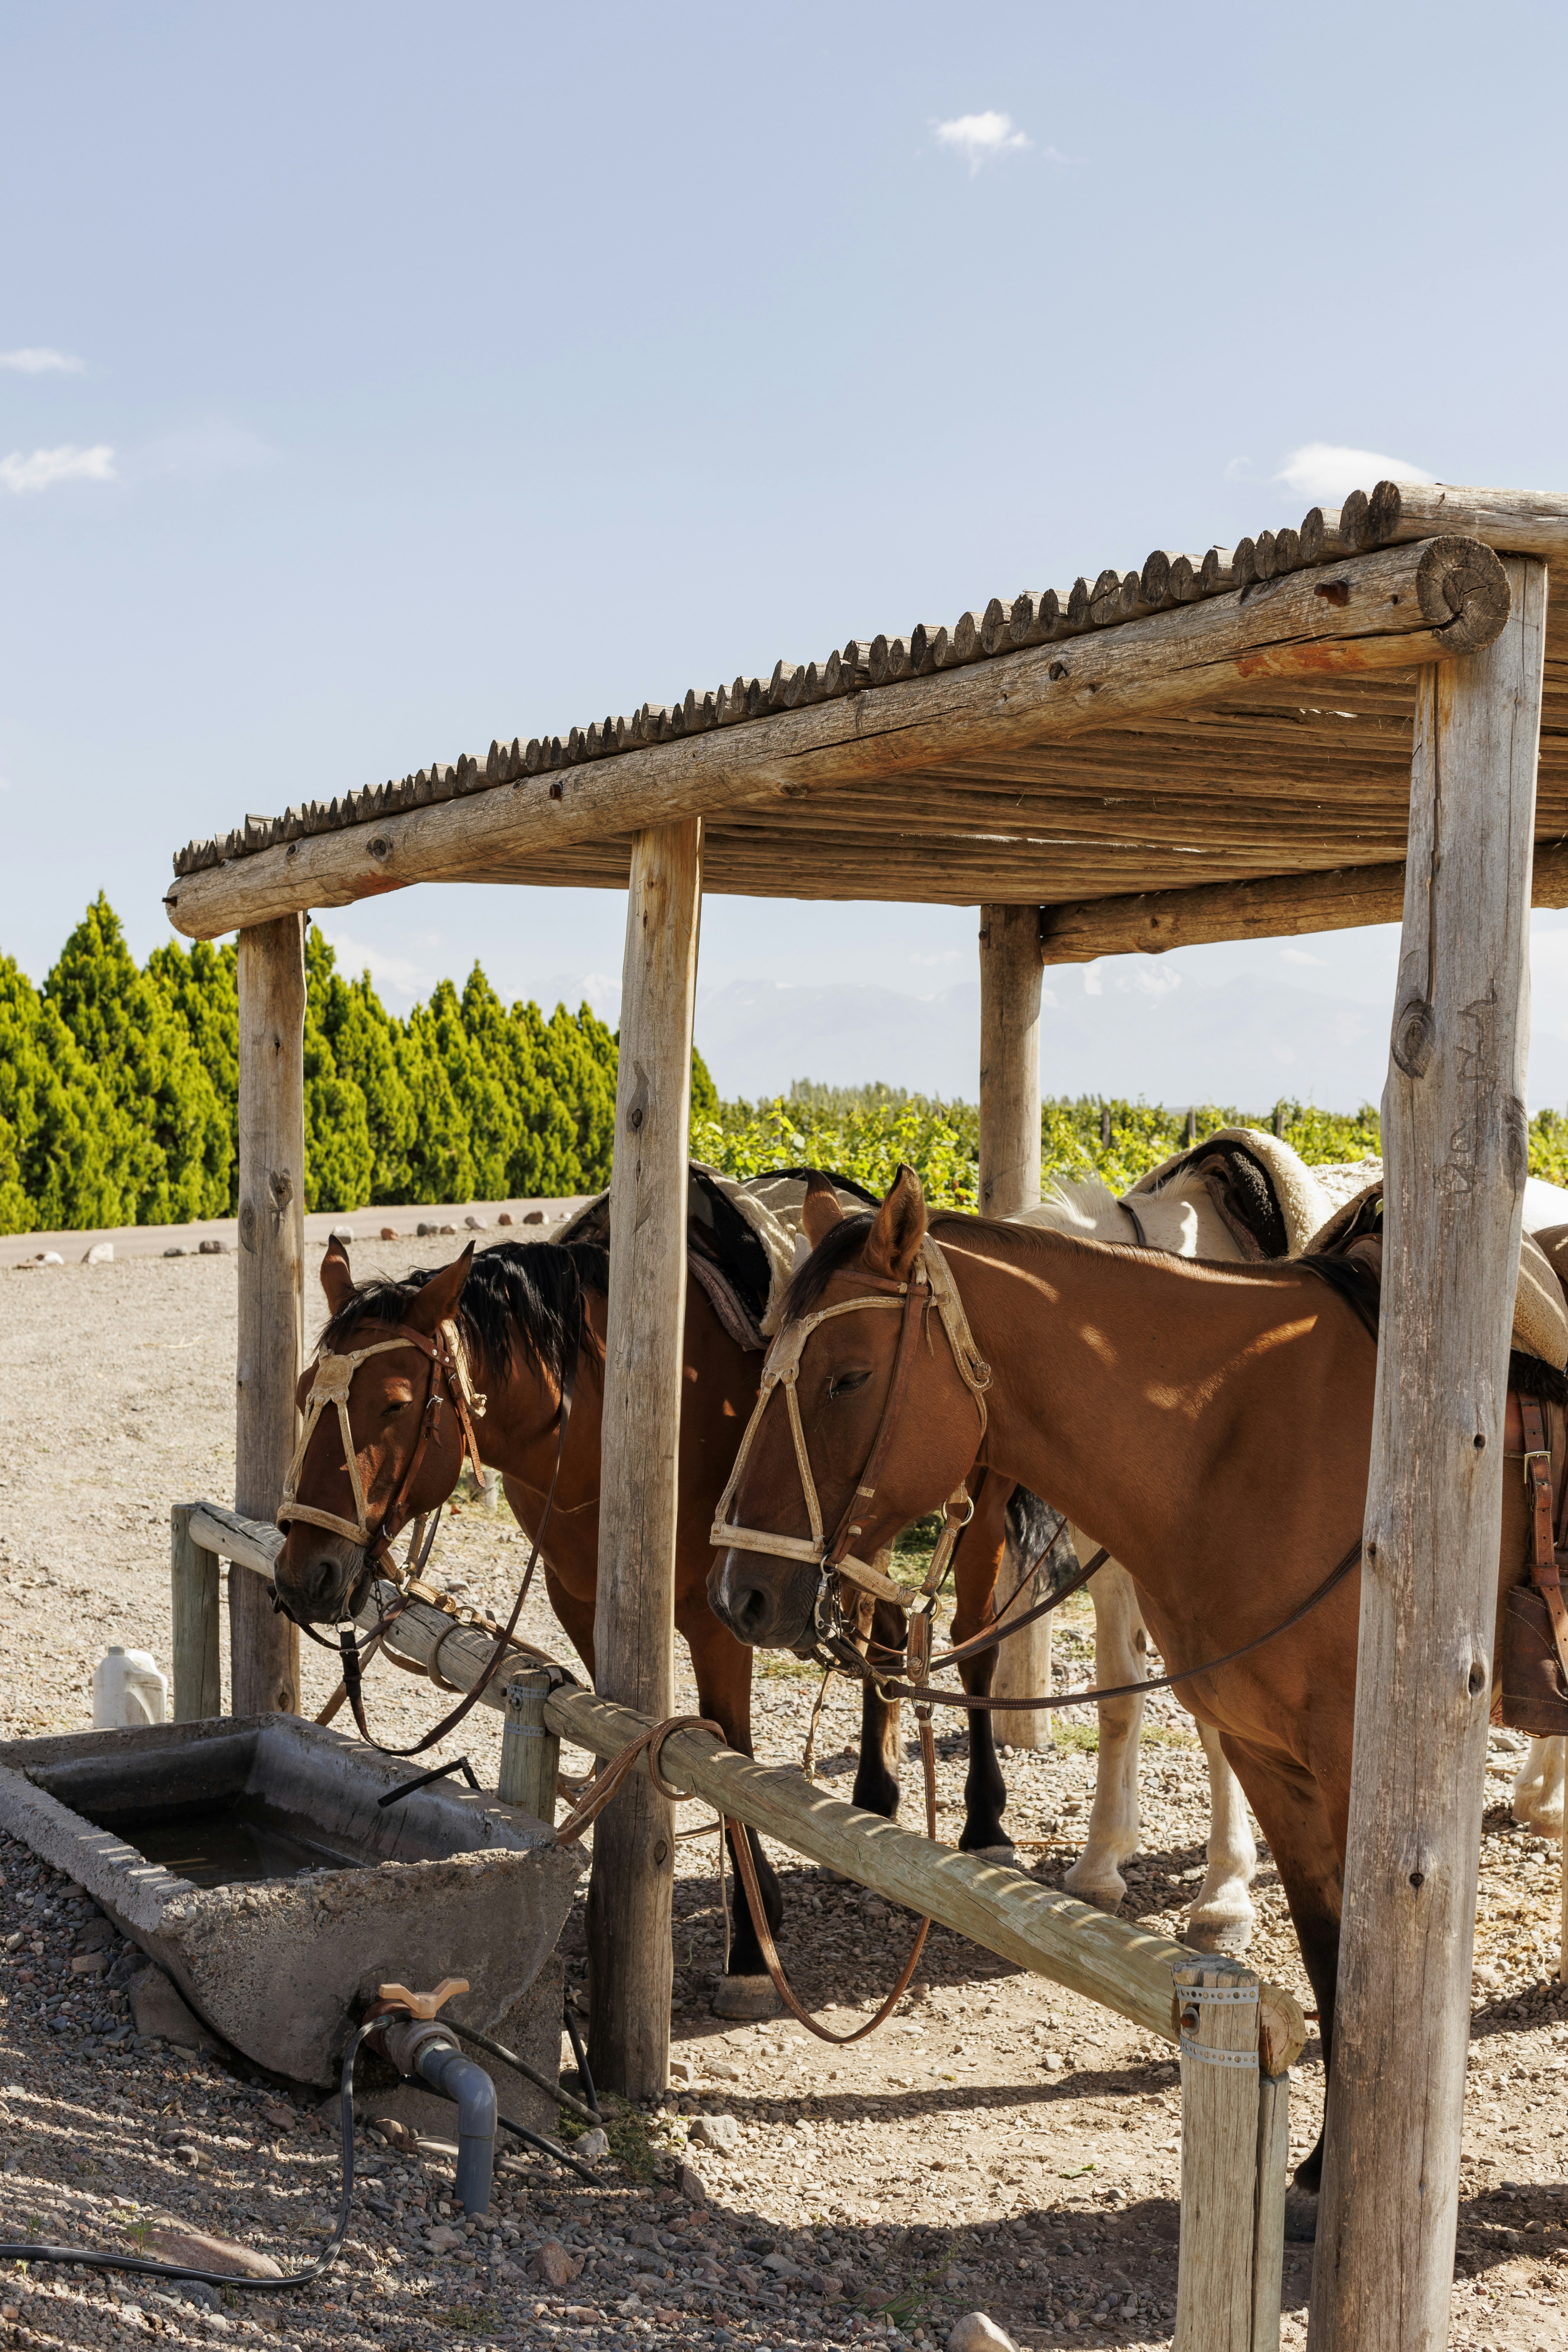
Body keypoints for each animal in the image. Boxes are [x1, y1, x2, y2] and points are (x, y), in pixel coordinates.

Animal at [706, 1166, 1545, 2215]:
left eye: (847, 1376)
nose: (737, 1593)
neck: (1247, 1433)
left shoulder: (1362, 1771)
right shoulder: (1270, 1753)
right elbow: (1325, 1953)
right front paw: (1320, 2168)